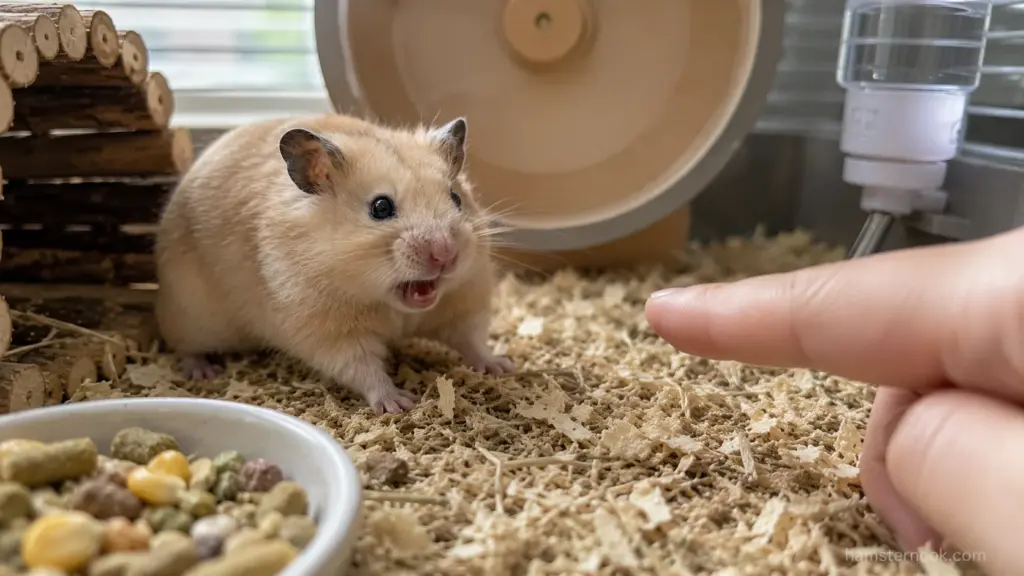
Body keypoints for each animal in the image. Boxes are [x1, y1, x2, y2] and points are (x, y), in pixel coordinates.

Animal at [154, 113, 514, 414]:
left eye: (456, 198)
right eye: (380, 207)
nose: (445, 253)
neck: (389, 306)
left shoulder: (464, 302)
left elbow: (471, 340)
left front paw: (501, 366)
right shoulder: (328, 333)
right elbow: (363, 369)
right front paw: (398, 403)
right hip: (192, 315)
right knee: (182, 345)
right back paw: (202, 371)